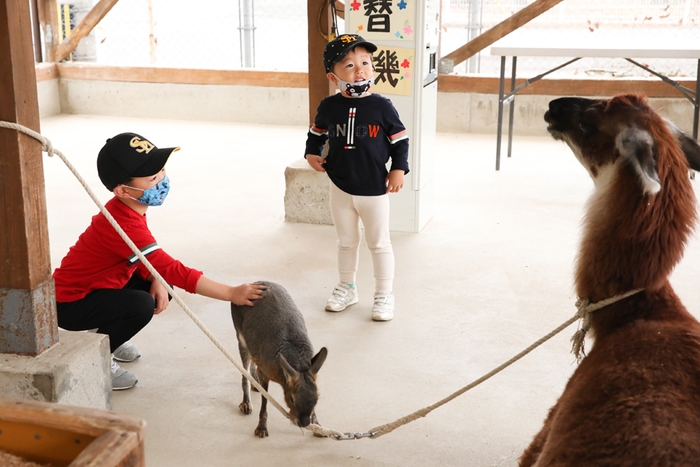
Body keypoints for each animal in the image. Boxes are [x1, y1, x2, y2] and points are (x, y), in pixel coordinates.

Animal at [230, 282, 328, 438]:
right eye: (292, 399)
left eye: (317, 398)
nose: (304, 423)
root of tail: (253, 282)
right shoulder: (265, 372)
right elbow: (265, 402)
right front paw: (261, 429)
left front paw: (318, 427)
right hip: (241, 338)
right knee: (245, 372)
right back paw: (246, 403)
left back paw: (255, 384)